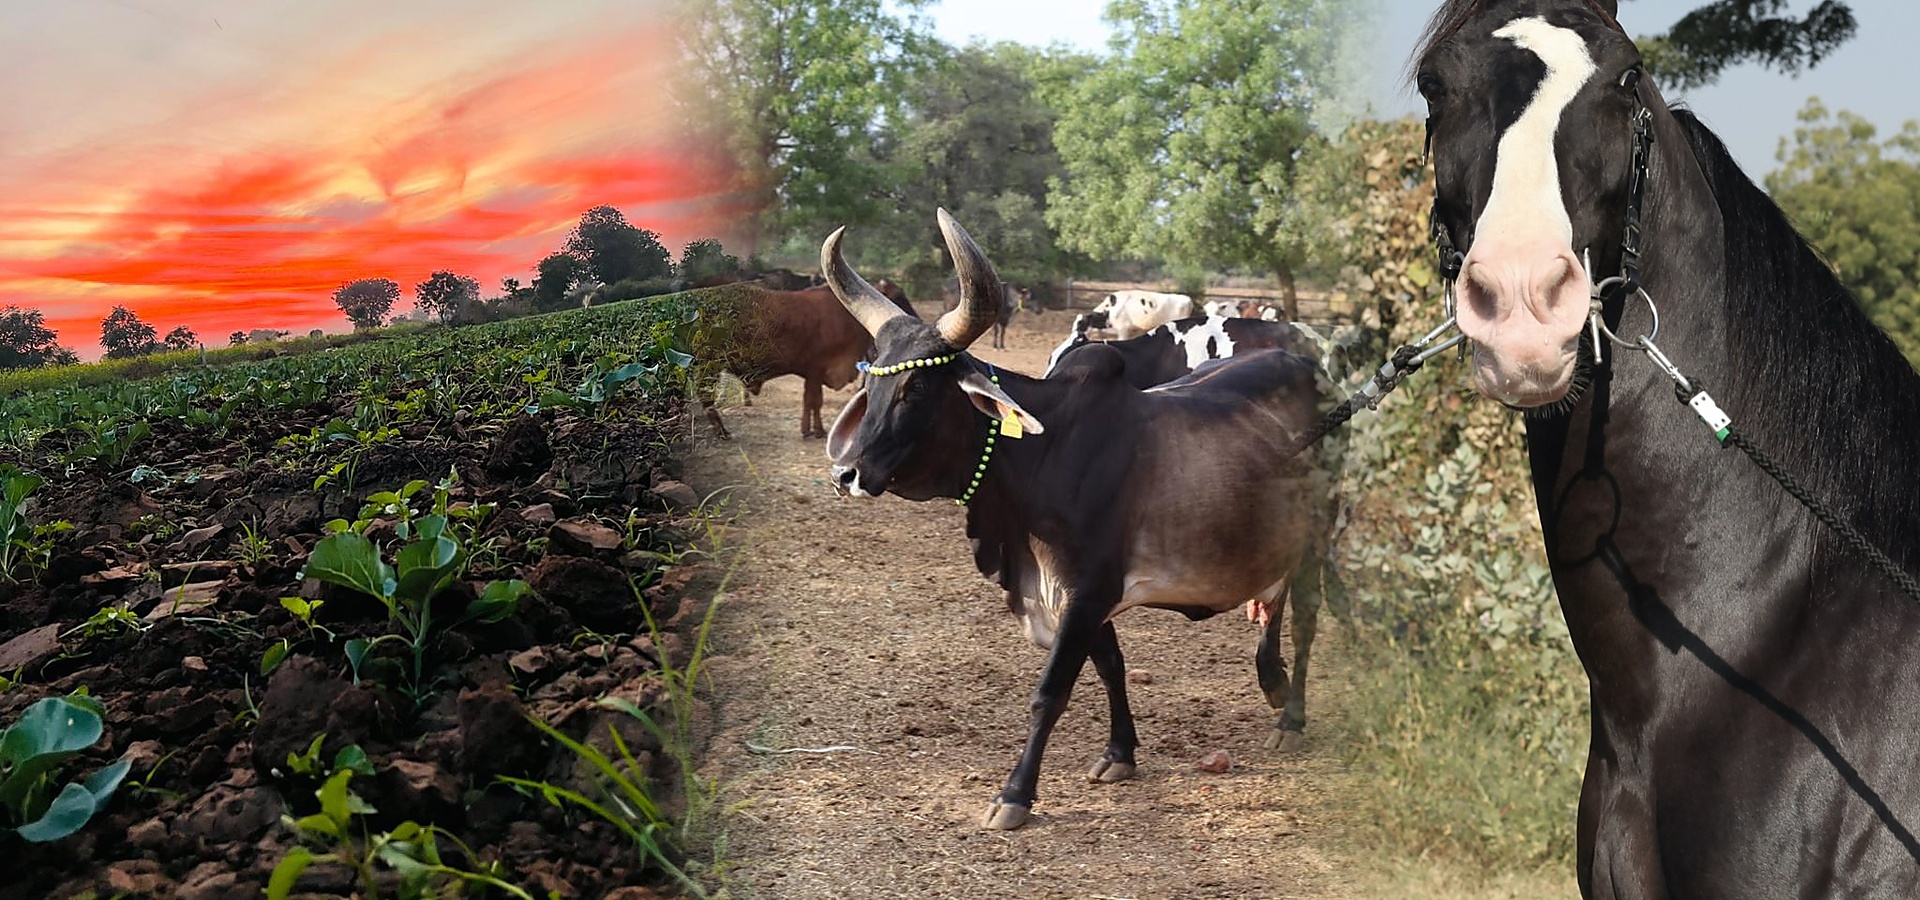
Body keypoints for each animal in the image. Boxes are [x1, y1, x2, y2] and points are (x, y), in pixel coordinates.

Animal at [692, 281, 916, 440]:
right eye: (898, 297)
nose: (914, 318)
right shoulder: (816, 369)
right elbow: (814, 401)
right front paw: (816, 431)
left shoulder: (814, 372)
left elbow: (811, 401)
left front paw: (809, 429)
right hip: (708, 367)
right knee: (706, 398)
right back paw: (722, 432)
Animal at [824, 210, 1336, 830]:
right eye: (871, 381)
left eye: (916, 386)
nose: (847, 472)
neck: (1039, 457)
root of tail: (1311, 366)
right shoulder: (1077, 592)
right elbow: (1111, 664)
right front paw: (1120, 752)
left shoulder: (1088, 590)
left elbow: (1051, 691)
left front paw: (1015, 794)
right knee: (1272, 600)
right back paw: (1273, 682)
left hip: (1317, 539)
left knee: (1305, 619)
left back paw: (1292, 716)